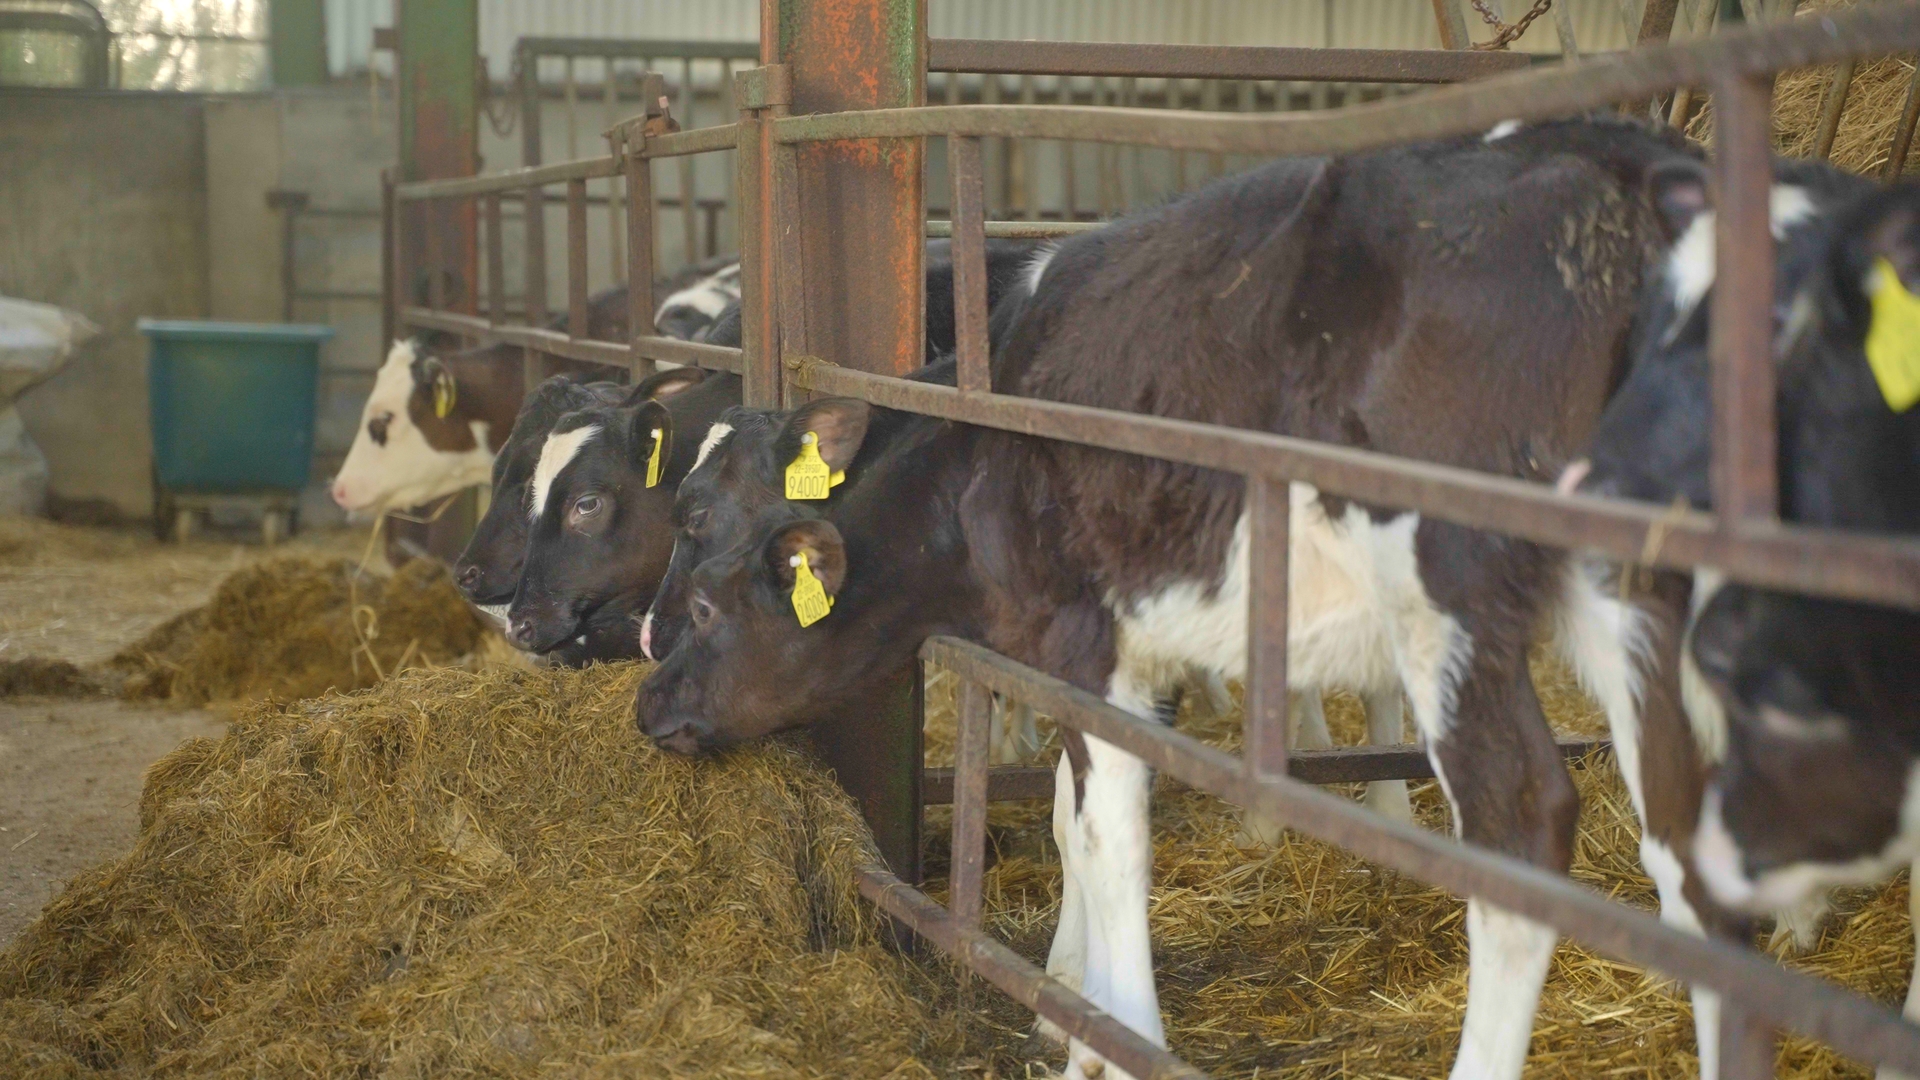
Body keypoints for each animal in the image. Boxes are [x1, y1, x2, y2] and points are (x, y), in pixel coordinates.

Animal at [632, 117, 1709, 1080]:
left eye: (701, 558)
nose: (646, 683)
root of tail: (1626, 162)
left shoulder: (1085, 640)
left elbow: (1107, 836)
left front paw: (1105, 1039)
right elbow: (1071, 820)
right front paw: (1068, 1000)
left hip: (1448, 593)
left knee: (1519, 823)